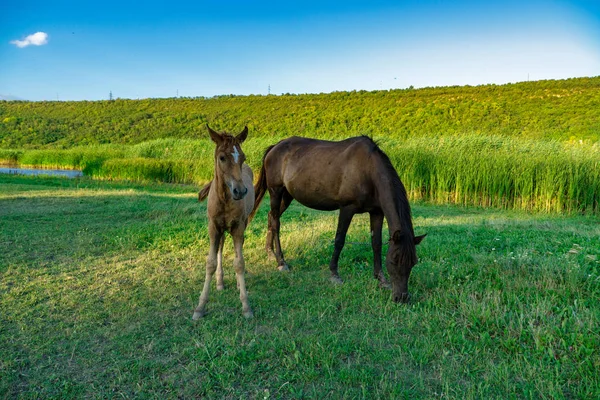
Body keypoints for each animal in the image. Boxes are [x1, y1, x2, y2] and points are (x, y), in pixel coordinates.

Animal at [193, 125, 254, 318]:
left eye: (243, 157)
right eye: (222, 157)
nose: (240, 191)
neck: (224, 199)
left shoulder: (238, 227)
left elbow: (239, 263)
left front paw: (246, 306)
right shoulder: (213, 227)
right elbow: (210, 263)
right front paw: (200, 307)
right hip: (221, 228)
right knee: (220, 247)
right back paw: (220, 282)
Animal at [250, 136, 426, 302]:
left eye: (413, 262)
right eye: (394, 260)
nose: (401, 298)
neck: (369, 171)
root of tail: (275, 147)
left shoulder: (377, 212)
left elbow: (376, 244)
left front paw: (381, 279)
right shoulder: (347, 208)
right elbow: (339, 240)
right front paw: (334, 274)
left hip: (288, 195)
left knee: (271, 217)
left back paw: (270, 253)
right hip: (276, 191)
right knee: (276, 222)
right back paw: (281, 262)